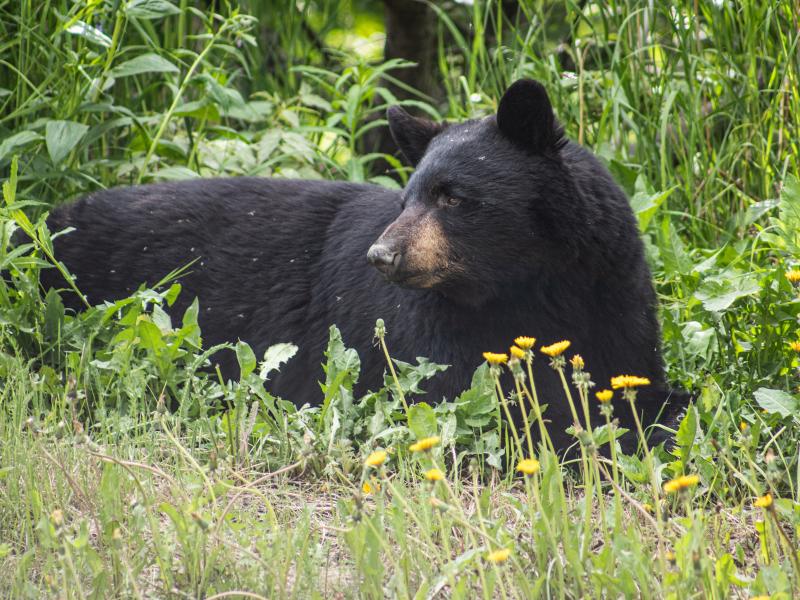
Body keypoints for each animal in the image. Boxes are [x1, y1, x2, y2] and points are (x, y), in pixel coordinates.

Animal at [42, 79, 680, 448]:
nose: (381, 254)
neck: (529, 288)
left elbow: (638, 384)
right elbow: (472, 401)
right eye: (407, 198)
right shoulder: (424, 336)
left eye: (452, 197)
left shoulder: (612, 296)